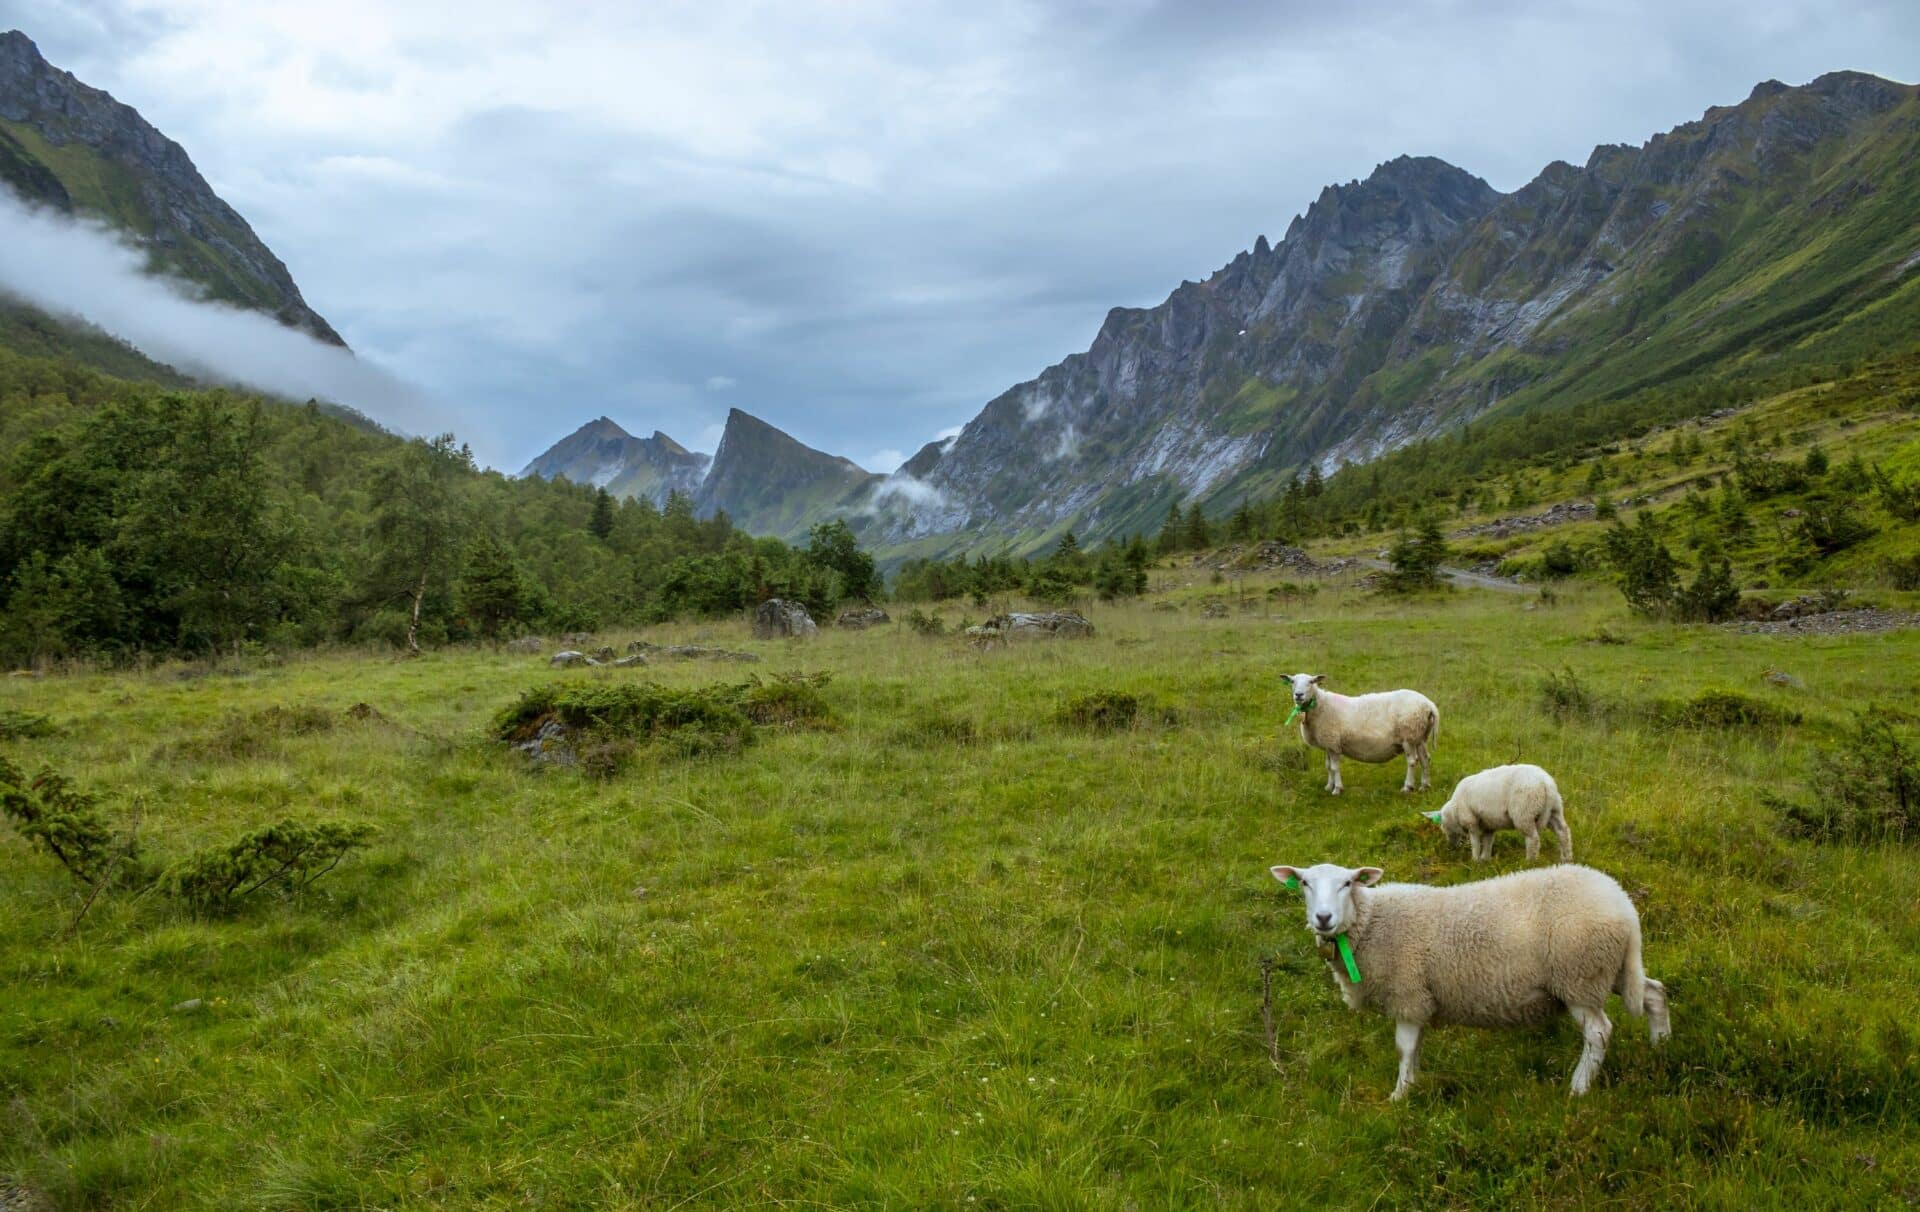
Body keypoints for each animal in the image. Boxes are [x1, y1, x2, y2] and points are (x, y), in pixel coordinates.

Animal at [1259, 864, 1666, 1098]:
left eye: (1347, 883)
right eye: (1304, 883)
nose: (1323, 918)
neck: (1371, 922)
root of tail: (1623, 904)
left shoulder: (1408, 994)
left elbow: (1404, 1048)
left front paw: (1398, 1097)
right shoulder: (1421, 998)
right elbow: (1416, 1049)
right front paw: (1413, 1085)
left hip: (1578, 976)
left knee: (1598, 1033)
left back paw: (1578, 1089)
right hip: (1611, 970)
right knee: (1653, 994)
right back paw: (1661, 1045)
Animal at [1282, 672, 1436, 795]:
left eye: (1311, 682)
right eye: (1292, 681)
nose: (1298, 695)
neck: (1320, 705)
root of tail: (1429, 704)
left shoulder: (1333, 743)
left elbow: (1334, 767)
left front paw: (1337, 789)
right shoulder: (1328, 744)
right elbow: (1328, 767)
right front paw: (1328, 786)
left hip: (1408, 735)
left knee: (1412, 761)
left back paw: (1408, 787)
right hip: (1419, 736)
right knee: (1425, 759)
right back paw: (1425, 786)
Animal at [1428, 768, 1574, 864]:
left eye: (1443, 826)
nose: (1451, 847)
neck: (1455, 809)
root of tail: (1546, 783)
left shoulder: (1471, 820)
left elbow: (1475, 842)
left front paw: (1475, 860)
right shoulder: (1488, 824)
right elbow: (1488, 841)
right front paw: (1485, 859)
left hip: (1524, 811)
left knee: (1533, 839)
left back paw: (1529, 861)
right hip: (1554, 809)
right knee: (1563, 832)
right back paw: (1566, 858)